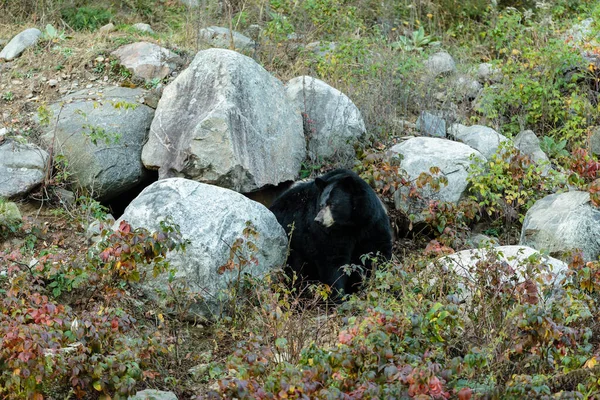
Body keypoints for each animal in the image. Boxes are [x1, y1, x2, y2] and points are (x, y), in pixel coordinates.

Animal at [268, 167, 392, 296]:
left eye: (332, 204)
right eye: (321, 204)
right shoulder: (326, 234)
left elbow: (378, 250)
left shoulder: (371, 222)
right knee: (295, 269)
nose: (318, 220)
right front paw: (339, 295)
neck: (350, 224)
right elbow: (333, 261)